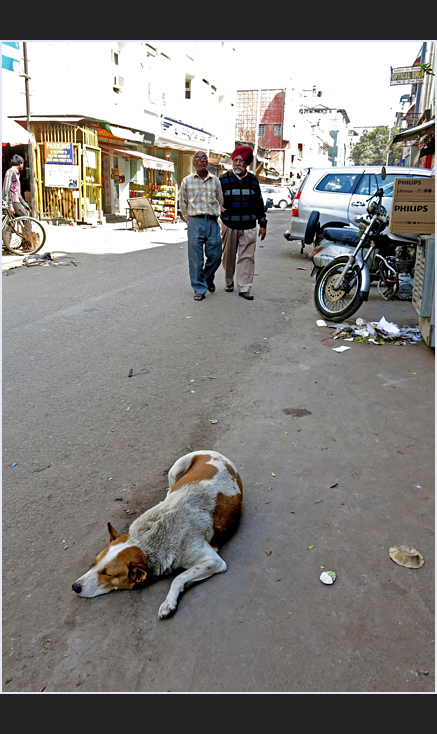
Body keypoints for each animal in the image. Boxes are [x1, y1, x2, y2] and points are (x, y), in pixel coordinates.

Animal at [71, 452, 242, 620]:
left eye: (108, 574)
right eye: (94, 563)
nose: (75, 586)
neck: (146, 540)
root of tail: (219, 456)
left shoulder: (213, 561)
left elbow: (179, 577)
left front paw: (169, 602)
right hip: (174, 470)